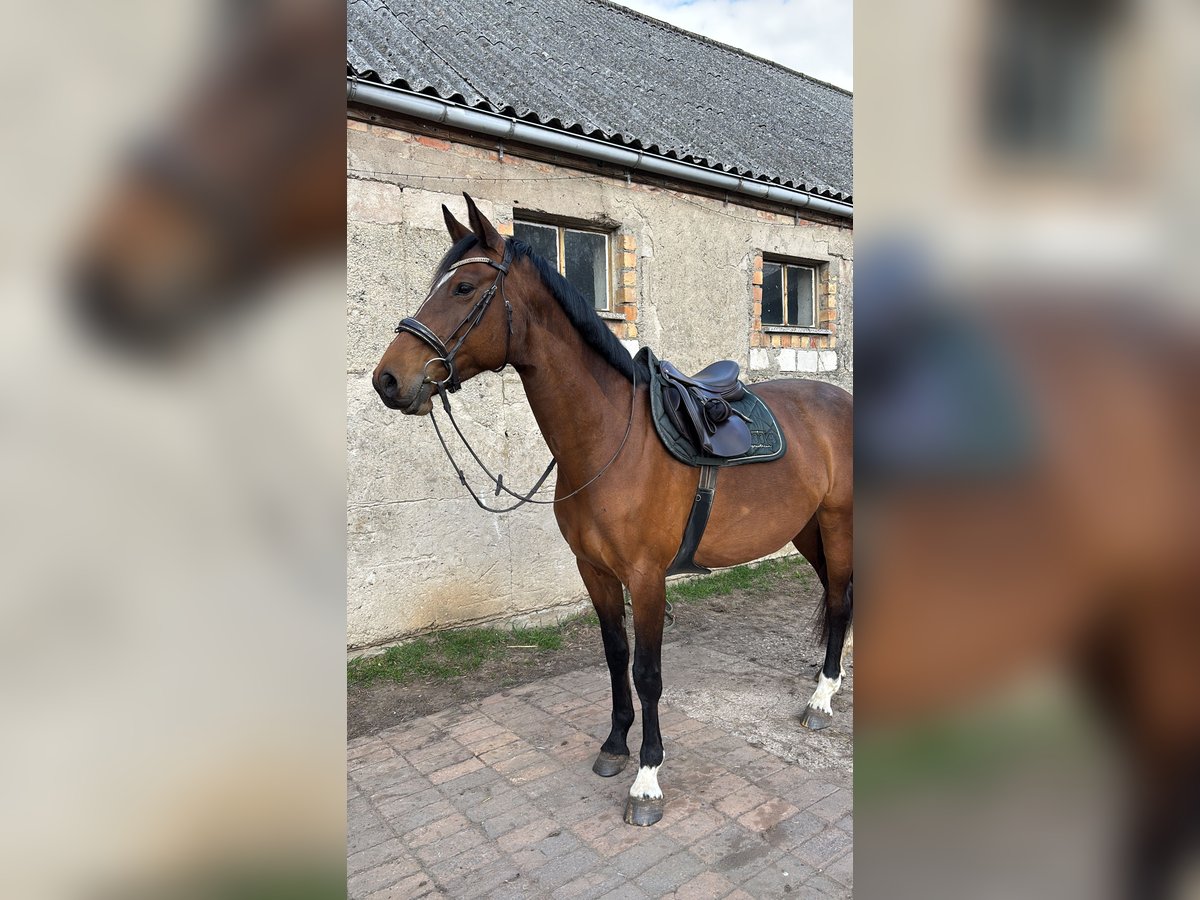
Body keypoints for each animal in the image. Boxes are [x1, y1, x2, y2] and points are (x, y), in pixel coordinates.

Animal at [372, 194, 854, 825]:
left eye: (465, 286)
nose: (388, 379)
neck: (607, 443)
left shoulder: (646, 578)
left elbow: (647, 672)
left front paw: (647, 780)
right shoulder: (594, 571)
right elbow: (614, 655)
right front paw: (614, 747)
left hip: (839, 524)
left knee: (841, 600)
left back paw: (821, 699)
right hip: (807, 530)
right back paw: (830, 682)